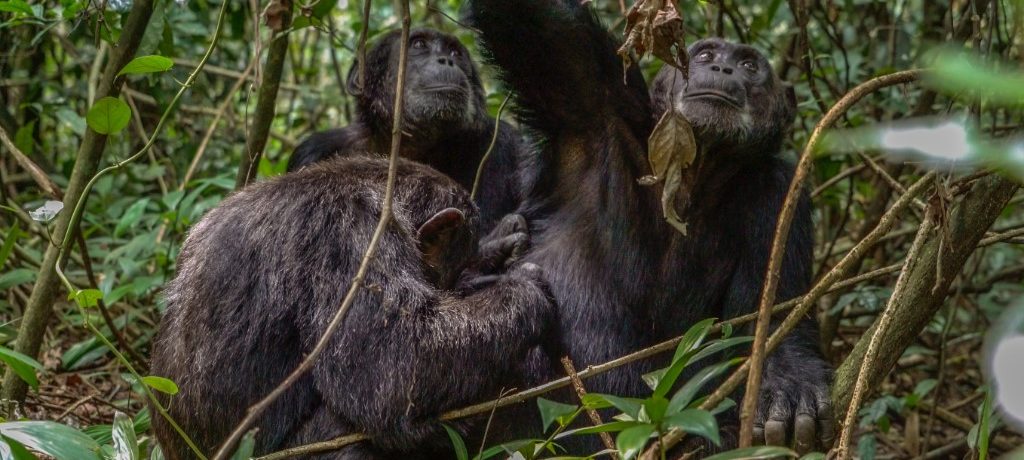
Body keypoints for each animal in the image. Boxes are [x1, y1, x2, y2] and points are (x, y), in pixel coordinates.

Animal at [468, 0, 835, 450]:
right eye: (706, 55)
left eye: (750, 65)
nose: (724, 69)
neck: (691, 175)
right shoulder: (592, 99)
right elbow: (539, 22)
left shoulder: (782, 191)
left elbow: (778, 309)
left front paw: (790, 382)